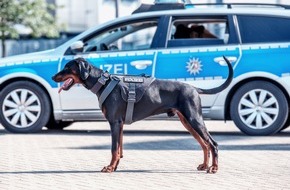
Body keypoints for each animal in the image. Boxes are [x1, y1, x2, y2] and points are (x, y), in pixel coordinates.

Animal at [52, 56, 233, 174]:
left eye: (67, 67)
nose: (53, 77)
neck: (102, 83)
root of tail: (194, 88)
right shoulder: (120, 124)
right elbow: (119, 149)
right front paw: (114, 167)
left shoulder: (114, 122)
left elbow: (113, 149)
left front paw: (109, 168)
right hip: (187, 121)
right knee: (204, 144)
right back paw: (204, 166)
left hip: (194, 119)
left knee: (212, 143)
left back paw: (214, 168)